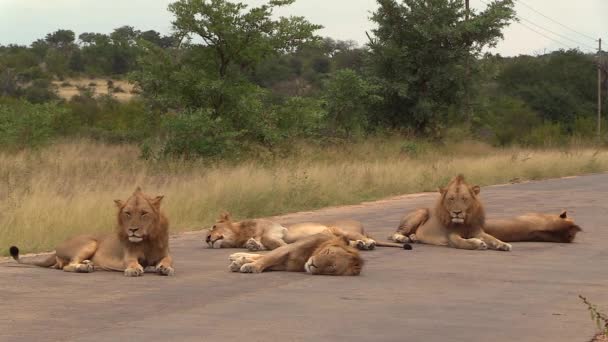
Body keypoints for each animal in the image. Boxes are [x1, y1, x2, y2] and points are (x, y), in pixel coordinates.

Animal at [9, 188, 176, 276]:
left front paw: (165, 268)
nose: (133, 230)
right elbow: (132, 262)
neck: (147, 239)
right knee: (68, 266)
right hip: (89, 242)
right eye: (128, 213)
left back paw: (88, 264)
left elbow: (168, 260)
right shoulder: (128, 256)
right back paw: (83, 267)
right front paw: (134, 269)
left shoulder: (165, 254)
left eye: (143, 213)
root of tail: (57, 248)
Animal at [227, 230, 360, 276]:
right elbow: (266, 259)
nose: (313, 264)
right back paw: (236, 256)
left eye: (331, 267)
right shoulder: (287, 249)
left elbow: (265, 261)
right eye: (327, 252)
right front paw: (251, 266)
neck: (308, 256)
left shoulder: (285, 265)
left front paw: (242, 263)